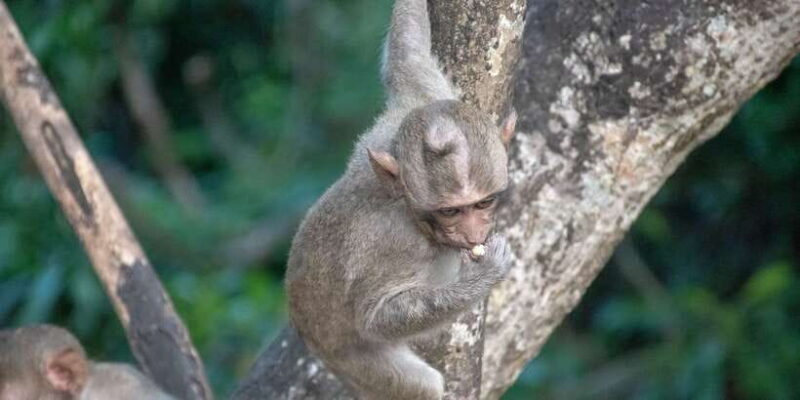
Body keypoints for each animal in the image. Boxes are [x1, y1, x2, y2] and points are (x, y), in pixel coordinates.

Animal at [285, 0, 517, 399]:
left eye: (483, 204)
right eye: (450, 211)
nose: (473, 235)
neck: (410, 210)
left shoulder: (422, 101)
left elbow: (407, 57)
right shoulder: (396, 244)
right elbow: (375, 316)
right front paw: (483, 276)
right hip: (350, 358)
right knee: (418, 384)